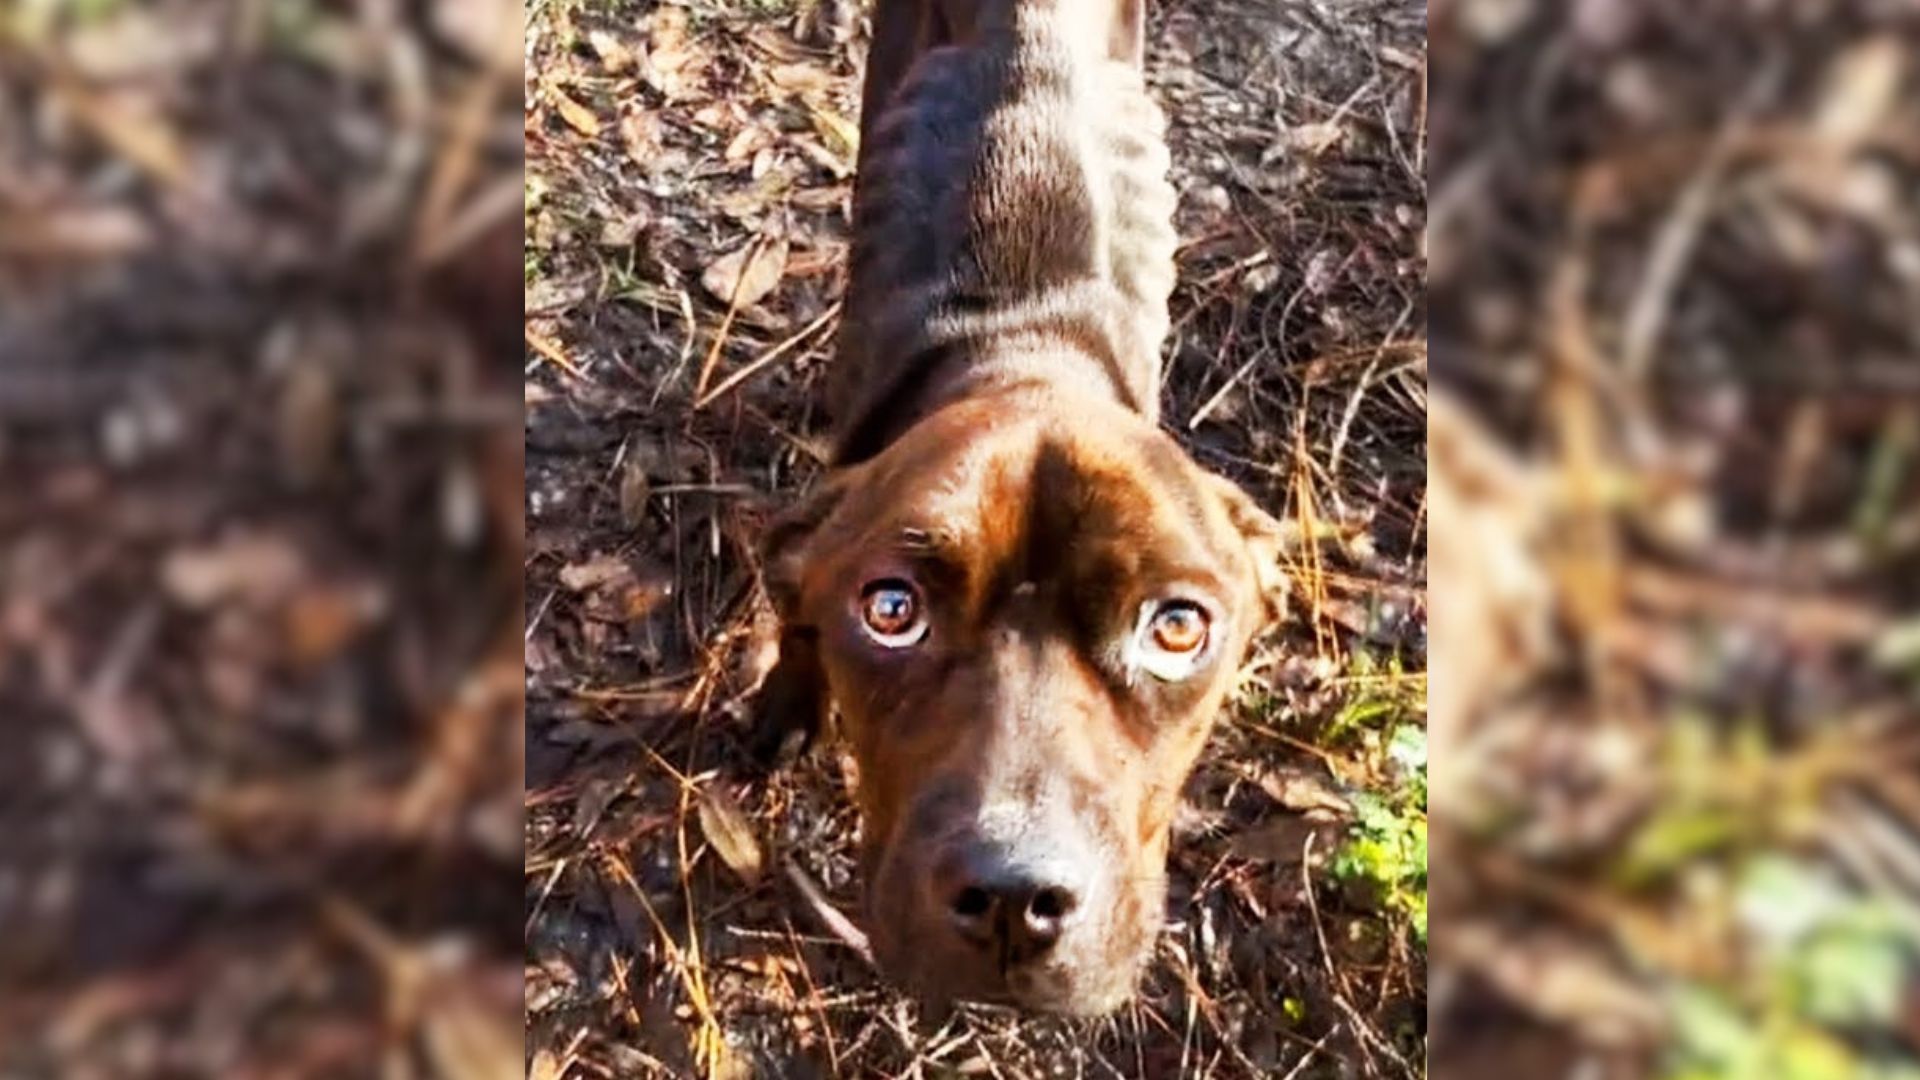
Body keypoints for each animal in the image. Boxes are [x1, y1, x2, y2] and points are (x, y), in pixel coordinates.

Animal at [752, 0, 1290, 1014]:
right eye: (891, 609)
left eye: (1177, 628)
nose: (1012, 896)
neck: (1023, 349)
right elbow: (796, 628)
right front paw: (785, 706)